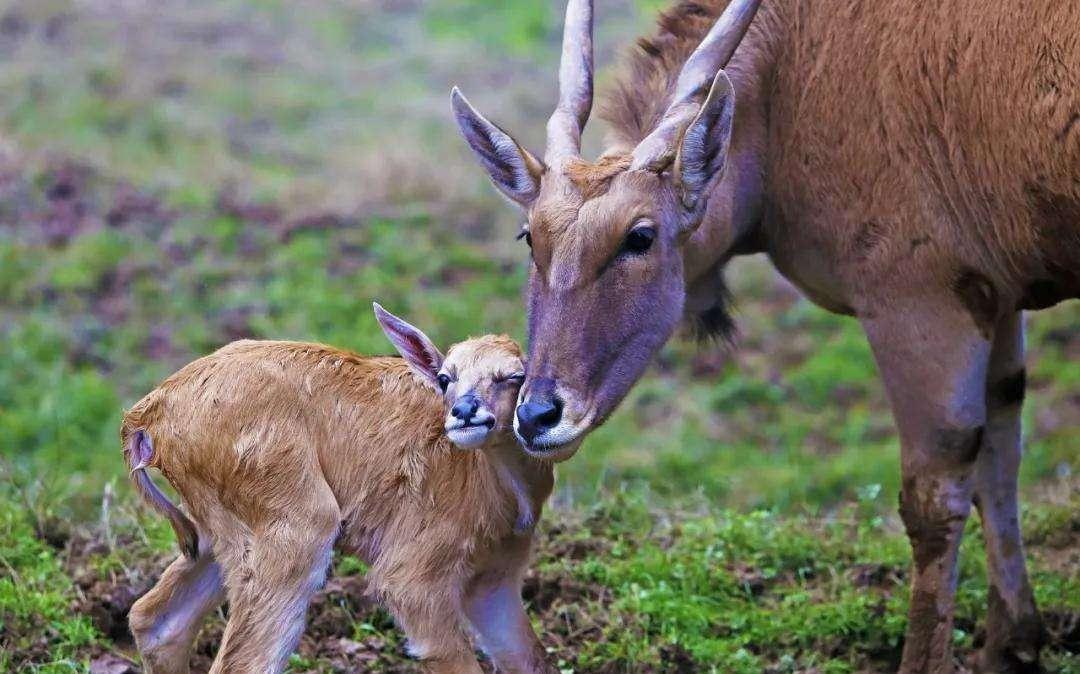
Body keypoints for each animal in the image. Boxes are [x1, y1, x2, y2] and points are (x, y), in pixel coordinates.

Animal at [124, 304, 557, 674]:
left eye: (514, 376)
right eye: (445, 378)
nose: (464, 411)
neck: (503, 490)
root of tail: (149, 412)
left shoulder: (496, 577)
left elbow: (530, 657)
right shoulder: (412, 576)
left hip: (217, 535)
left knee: (154, 620)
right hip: (296, 526)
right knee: (243, 661)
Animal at [451, 0, 1075, 669]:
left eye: (639, 236)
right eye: (529, 236)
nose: (537, 415)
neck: (790, 77)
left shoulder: (920, 304)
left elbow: (935, 496)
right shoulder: (994, 298)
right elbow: (1001, 455)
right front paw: (1015, 642)